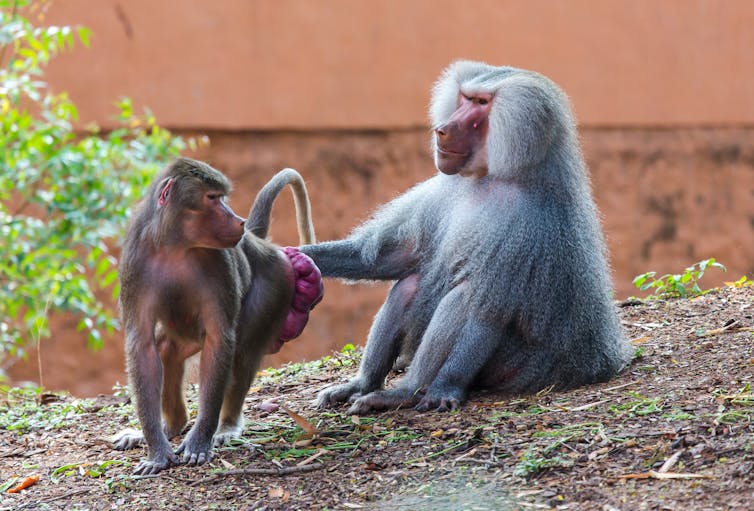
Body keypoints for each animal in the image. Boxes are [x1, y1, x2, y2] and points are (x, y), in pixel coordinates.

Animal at [112, 158, 323, 474]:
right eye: (212, 198)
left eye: (222, 197)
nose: (239, 221)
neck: (176, 246)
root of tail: (256, 241)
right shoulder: (135, 263)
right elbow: (144, 346)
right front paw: (157, 450)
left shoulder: (218, 263)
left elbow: (220, 339)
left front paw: (200, 440)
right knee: (167, 349)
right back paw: (172, 426)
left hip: (277, 279)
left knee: (242, 351)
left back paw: (226, 426)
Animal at [301, 60, 632, 415]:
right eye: (465, 97)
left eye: (482, 104)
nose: (442, 130)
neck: (491, 177)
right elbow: (394, 256)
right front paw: (298, 256)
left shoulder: (523, 224)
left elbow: (489, 312)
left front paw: (445, 387)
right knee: (409, 285)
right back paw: (363, 385)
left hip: (519, 364)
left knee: (464, 298)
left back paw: (404, 392)